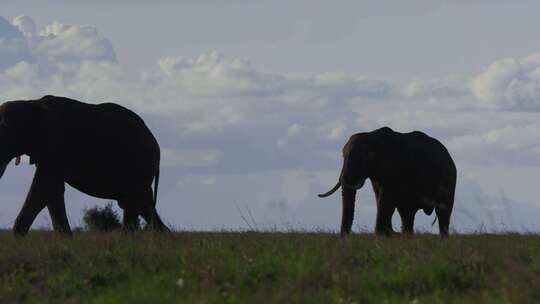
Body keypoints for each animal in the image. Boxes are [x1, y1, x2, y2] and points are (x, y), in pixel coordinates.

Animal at [0, 95, 169, 235]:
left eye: (5, 129)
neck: (31, 104)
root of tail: (156, 145)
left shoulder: (55, 146)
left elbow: (44, 189)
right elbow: (53, 191)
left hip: (138, 165)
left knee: (133, 203)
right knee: (143, 205)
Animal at [318, 127, 458, 236]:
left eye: (362, 158)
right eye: (343, 155)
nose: (345, 238)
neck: (371, 136)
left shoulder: (394, 168)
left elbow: (386, 199)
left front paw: (381, 235)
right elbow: (380, 197)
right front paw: (387, 234)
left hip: (449, 180)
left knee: (443, 213)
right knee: (407, 214)